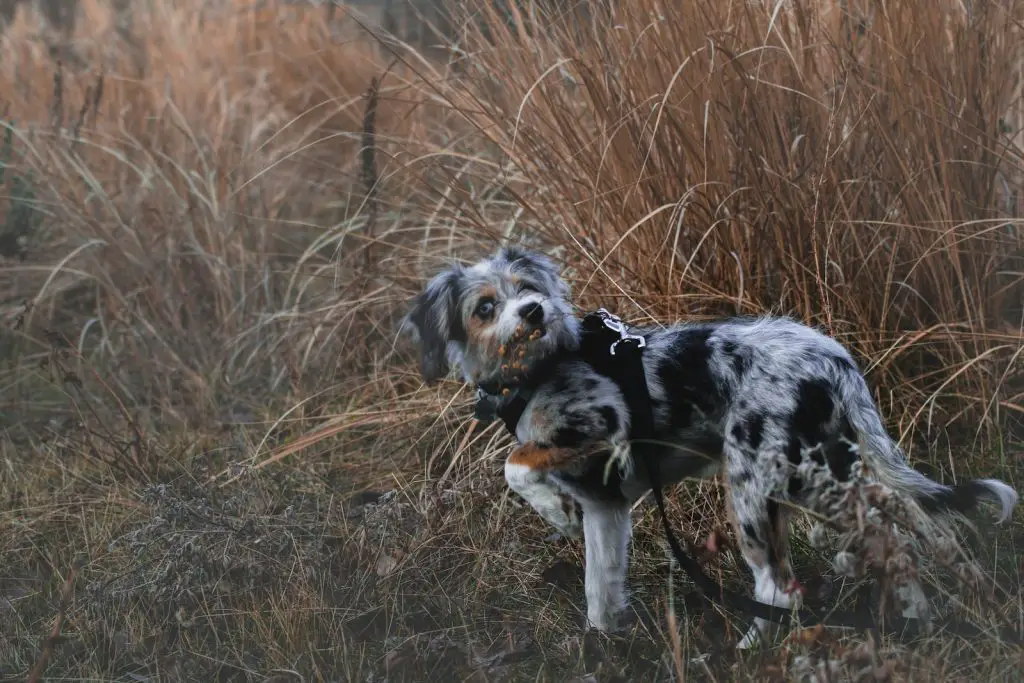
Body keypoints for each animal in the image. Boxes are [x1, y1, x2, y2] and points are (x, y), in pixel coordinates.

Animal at [403, 244, 1019, 647]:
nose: (534, 311)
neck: (537, 371)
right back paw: (921, 619)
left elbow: (517, 462)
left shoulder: (604, 421)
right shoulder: (607, 507)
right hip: (817, 477)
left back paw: (751, 653)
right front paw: (605, 646)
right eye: (485, 307)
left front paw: (553, 511)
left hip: (756, 489)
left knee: (779, 587)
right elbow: (600, 586)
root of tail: (832, 356)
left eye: (528, 290)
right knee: (898, 534)